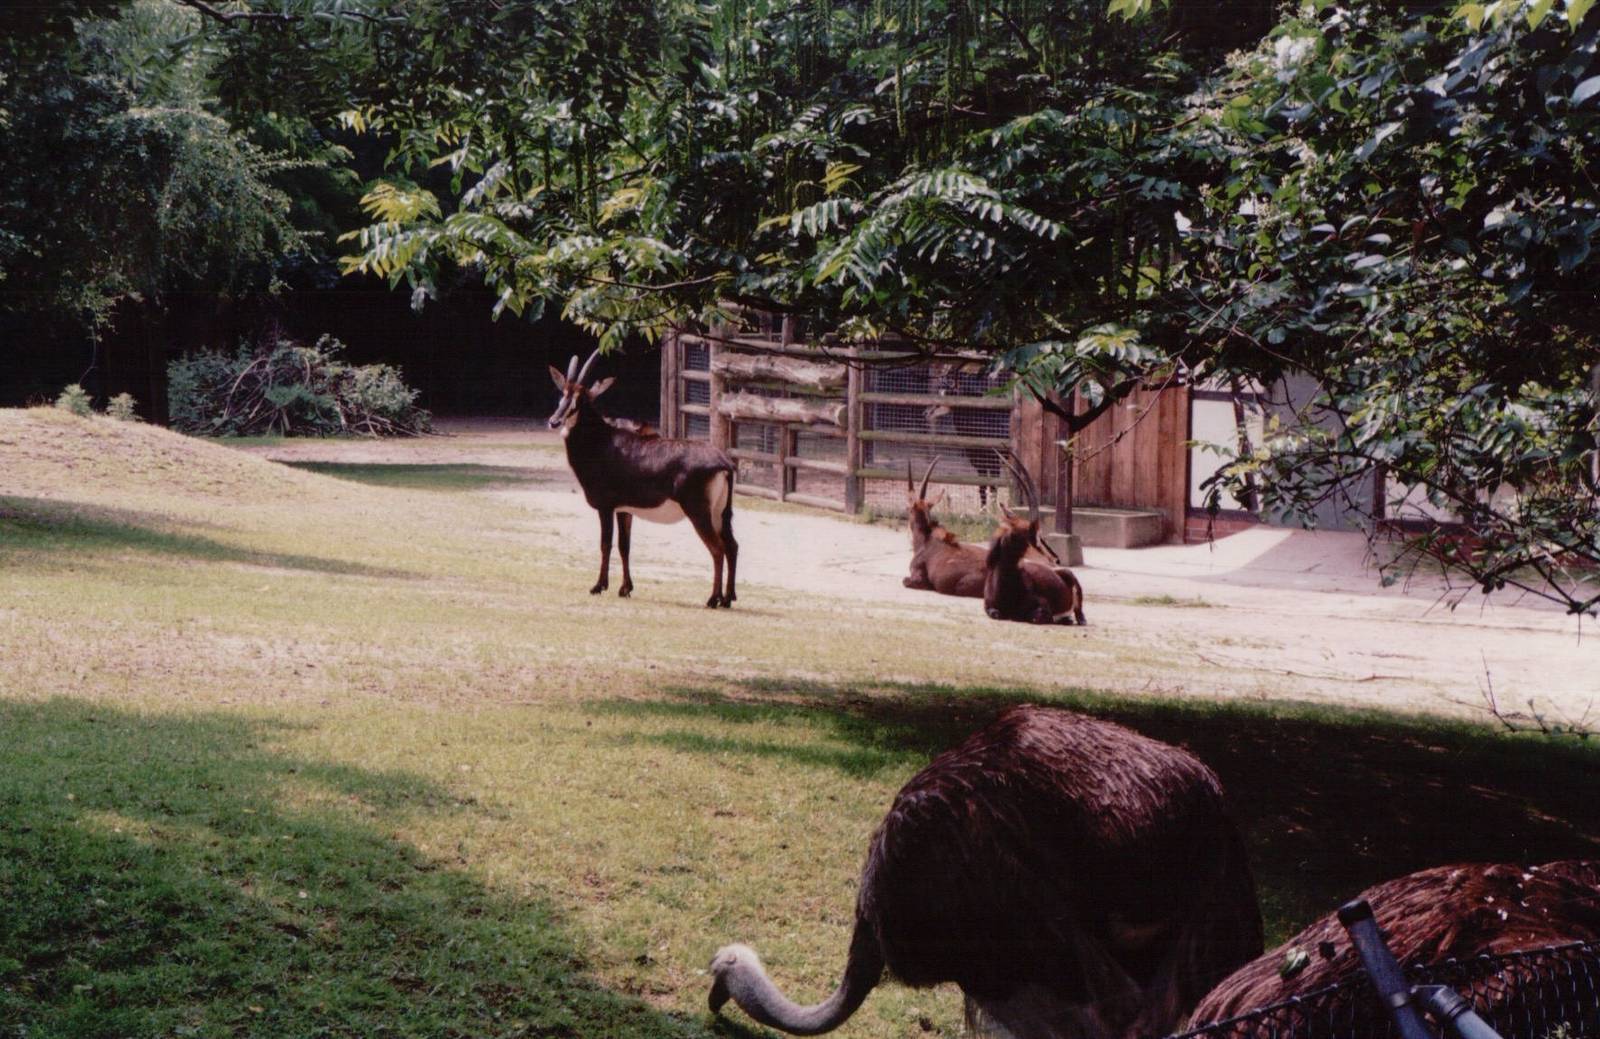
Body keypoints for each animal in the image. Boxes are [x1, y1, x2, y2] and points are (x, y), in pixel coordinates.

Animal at [548, 350, 739, 608]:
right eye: (563, 394)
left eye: (581, 398)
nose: (554, 421)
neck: (602, 441)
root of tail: (723, 463)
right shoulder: (624, 509)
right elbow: (624, 546)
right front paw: (625, 588)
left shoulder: (606, 507)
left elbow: (606, 544)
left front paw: (599, 586)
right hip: (719, 513)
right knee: (731, 546)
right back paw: (728, 598)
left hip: (699, 512)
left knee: (717, 549)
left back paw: (713, 599)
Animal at [985, 454, 1086, 625]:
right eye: (1036, 534)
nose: (1055, 559)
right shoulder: (989, 608)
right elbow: (995, 613)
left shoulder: (1043, 609)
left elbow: (1036, 617)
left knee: (1078, 613)